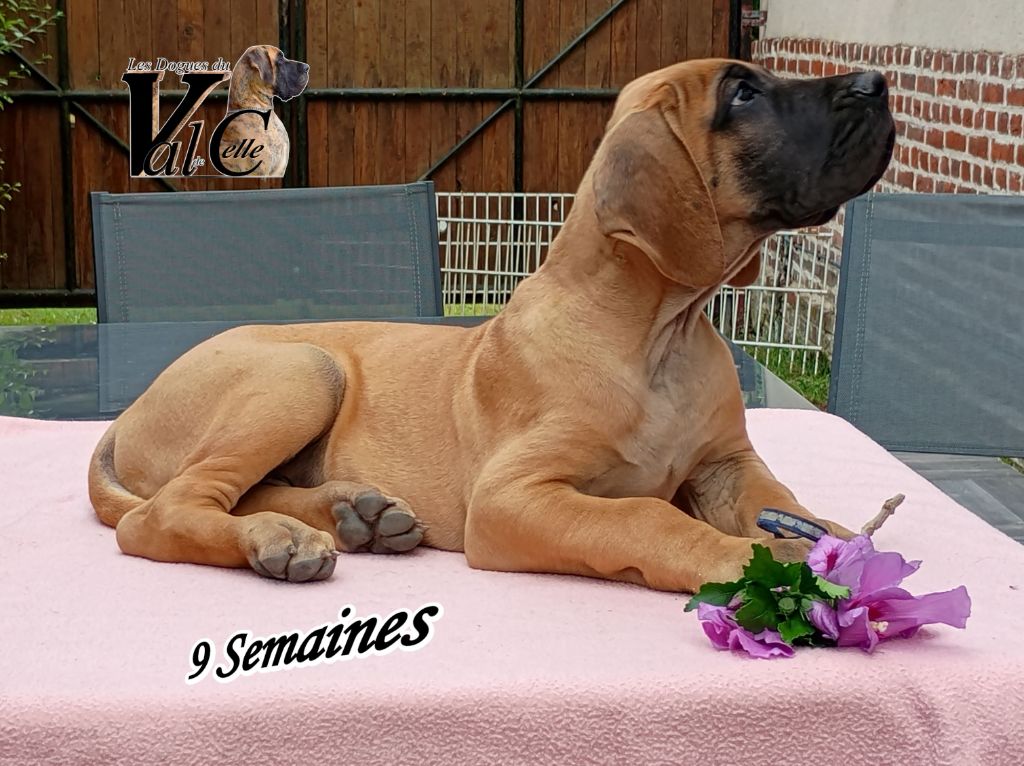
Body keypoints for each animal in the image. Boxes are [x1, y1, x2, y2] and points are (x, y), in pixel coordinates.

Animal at [89, 59, 894, 591]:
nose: (877, 84)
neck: (656, 336)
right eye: (744, 93)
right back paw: (282, 537)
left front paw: (843, 548)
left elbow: (781, 503)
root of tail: (127, 414)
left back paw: (357, 513)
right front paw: (751, 563)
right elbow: (646, 517)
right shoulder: (512, 498)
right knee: (159, 514)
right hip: (302, 370)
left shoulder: (728, 466)